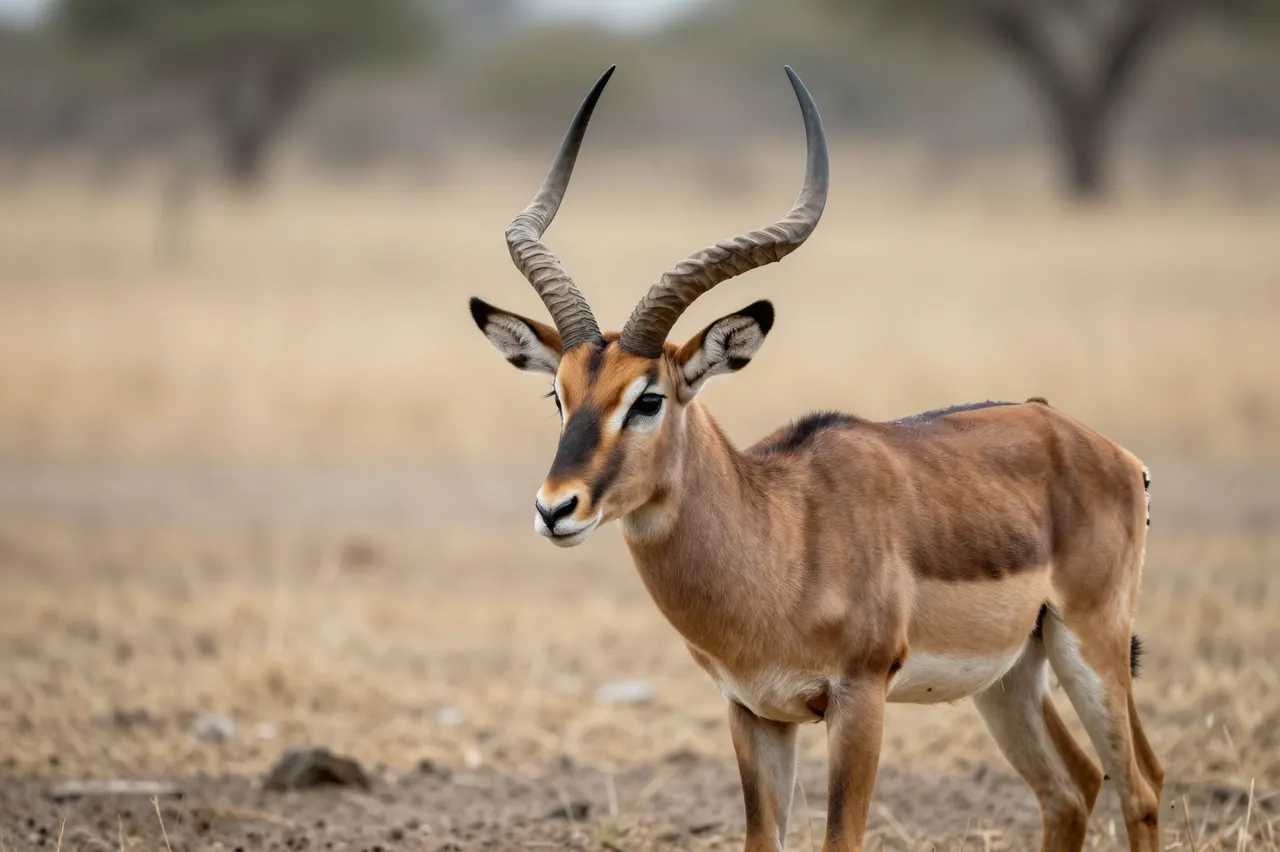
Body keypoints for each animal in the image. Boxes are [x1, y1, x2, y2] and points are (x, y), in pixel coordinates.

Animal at [468, 66, 1162, 852]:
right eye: (558, 394)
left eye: (648, 399)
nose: (556, 507)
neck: (781, 539)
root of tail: (1104, 448)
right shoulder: (753, 710)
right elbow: (761, 839)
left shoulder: (859, 698)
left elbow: (841, 838)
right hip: (1013, 674)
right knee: (1072, 787)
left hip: (1092, 644)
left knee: (1140, 784)